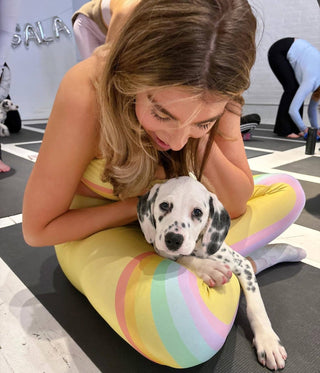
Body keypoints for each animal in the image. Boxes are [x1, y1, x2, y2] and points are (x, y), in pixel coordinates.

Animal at [138, 176, 288, 370]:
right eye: (164, 205)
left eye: (197, 212)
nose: (173, 239)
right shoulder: (162, 249)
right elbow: (184, 257)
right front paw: (210, 269)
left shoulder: (243, 265)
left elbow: (256, 306)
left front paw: (268, 342)